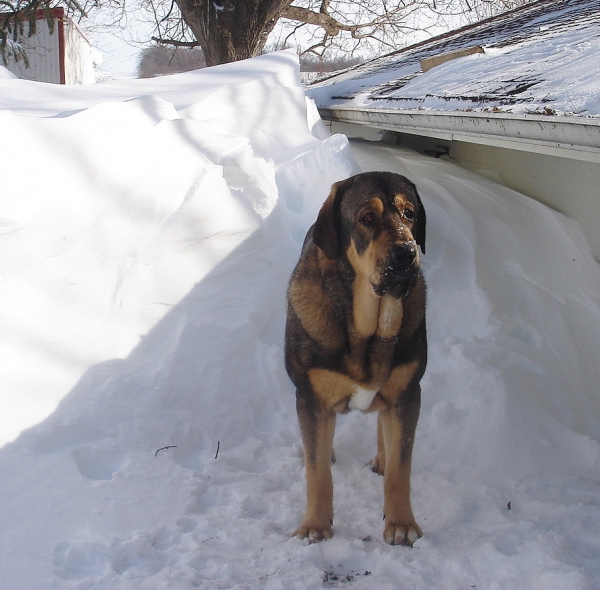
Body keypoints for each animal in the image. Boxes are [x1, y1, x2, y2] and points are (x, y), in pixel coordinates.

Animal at [284, 171, 426, 552]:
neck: (367, 328)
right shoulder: (311, 397)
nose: (407, 253)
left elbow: (402, 467)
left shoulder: (408, 394)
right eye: (367, 218)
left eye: (409, 214)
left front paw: (401, 524)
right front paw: (315, 526)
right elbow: (317, 471)